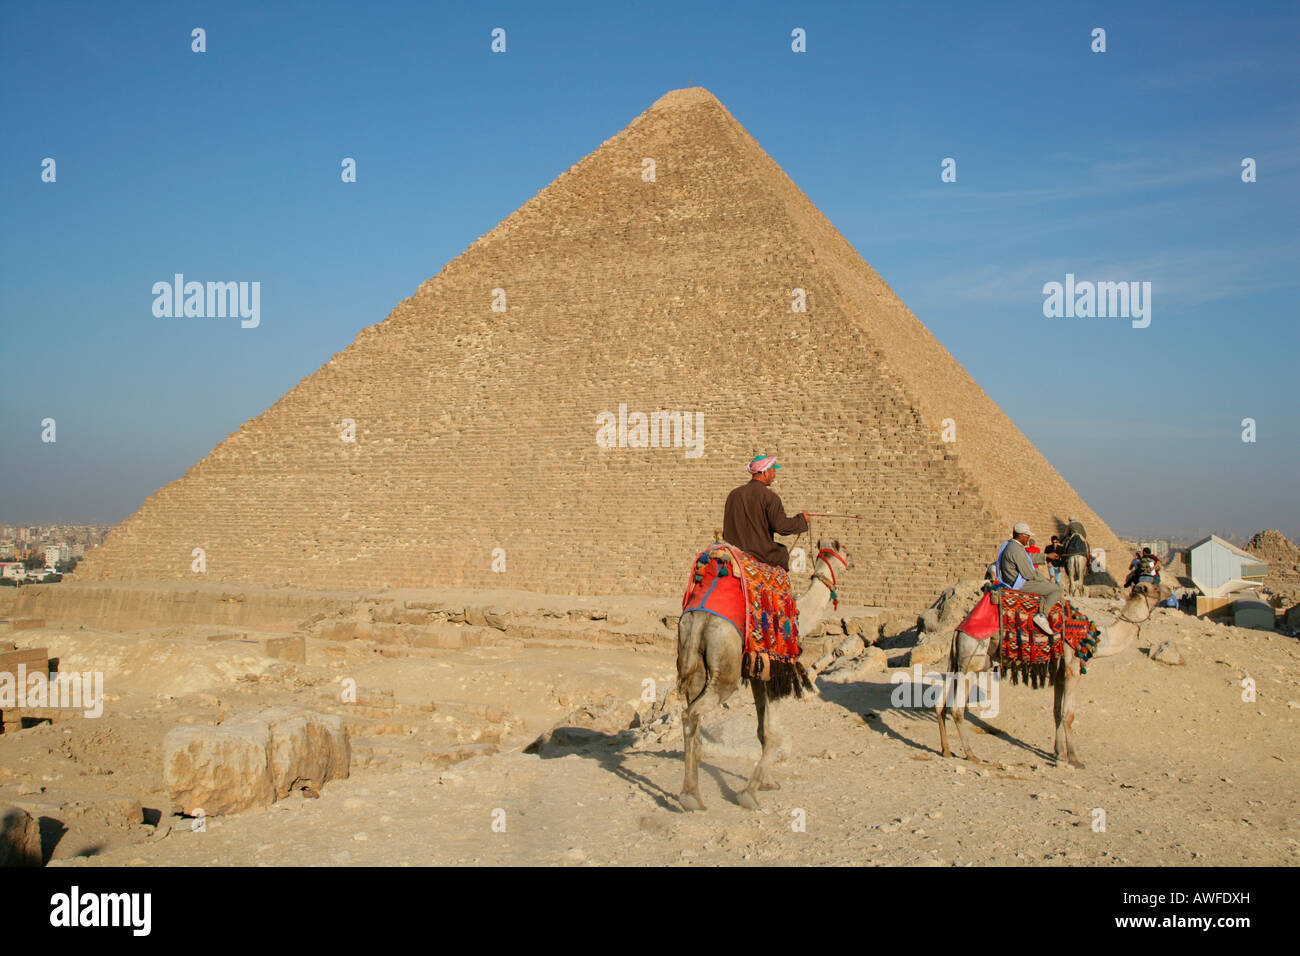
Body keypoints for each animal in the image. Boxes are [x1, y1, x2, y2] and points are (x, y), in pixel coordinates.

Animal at [676, 539, 852, 811]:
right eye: (845, 550)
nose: (852, 561)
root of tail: (701, 614)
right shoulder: (777, 672)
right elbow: (774, 733)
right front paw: (749, 792)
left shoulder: (759, 672)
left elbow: (762, 730)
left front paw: (767, 782)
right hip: (725, 669)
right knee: (692, 713)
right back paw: (690, 795)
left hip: (693, 655)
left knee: (691, 714)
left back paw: (692, 790)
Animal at [936, 581, 1171, 768]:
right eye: (1154, 587)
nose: (1170, 590)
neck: (1095, 637)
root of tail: (959, 630)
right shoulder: (1072, 667)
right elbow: (1069, 714)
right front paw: (1075, 759)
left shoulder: (1058, 672)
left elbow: (1057, 712)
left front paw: (1059, 754)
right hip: (972, 660)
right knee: (957, 709)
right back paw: (971, 754)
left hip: (962, 663)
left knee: (942, 705)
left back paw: (946, 750)